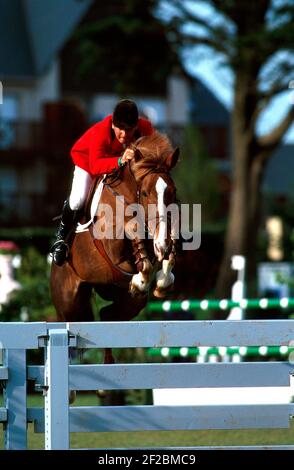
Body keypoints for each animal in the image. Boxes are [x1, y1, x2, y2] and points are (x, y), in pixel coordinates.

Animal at [50, 130, 179, 366]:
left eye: (172, 193)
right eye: (145, 193)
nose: (161, 246)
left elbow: (166, 247)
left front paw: (162, 280)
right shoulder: (113, 246)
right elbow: (132, 233)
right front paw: (141, 279)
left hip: (127, 301)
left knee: (107, 316)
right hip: (68, 304)